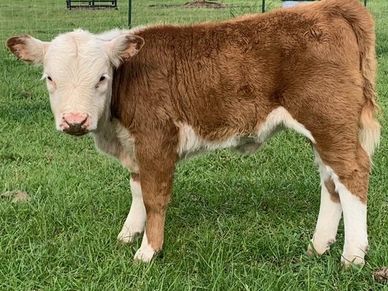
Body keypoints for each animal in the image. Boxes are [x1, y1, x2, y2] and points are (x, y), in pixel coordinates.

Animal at [7, 0, 380, 266]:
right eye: (50, 78)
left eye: (102, 78)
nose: (75, 120)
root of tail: (328, 7)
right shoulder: (135, 146)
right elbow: (138, 190)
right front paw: (128, 234)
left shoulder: (157, 139)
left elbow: (154, 196)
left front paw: (147, 252)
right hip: (326, 128)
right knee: (330, 181)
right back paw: (318, 246)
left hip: (328, 118)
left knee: (351, 173)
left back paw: (352, 257)